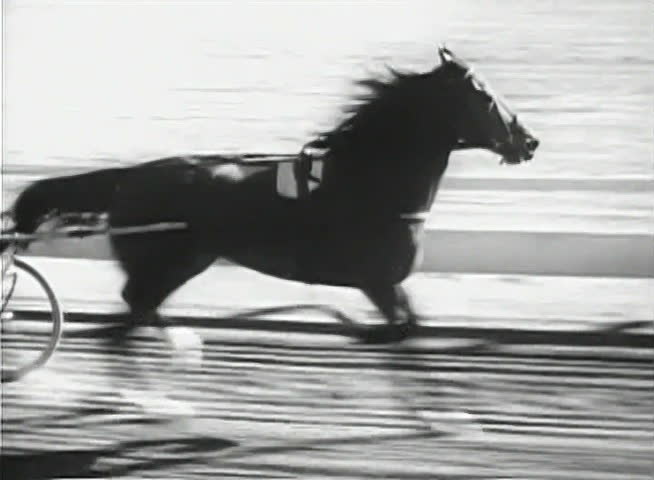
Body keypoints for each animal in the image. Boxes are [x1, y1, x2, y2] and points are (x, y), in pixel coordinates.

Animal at [3, 46, 538, 395]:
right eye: (485, 98)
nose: (529, 142)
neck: (369, 184)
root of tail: (129, 177)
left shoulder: (386, 284)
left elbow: (410, 327)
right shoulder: (376, 281)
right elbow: (402, 328)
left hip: (180, 262)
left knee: (132, 312)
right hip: (169, 262)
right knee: (136, 307)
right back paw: (177, 347)